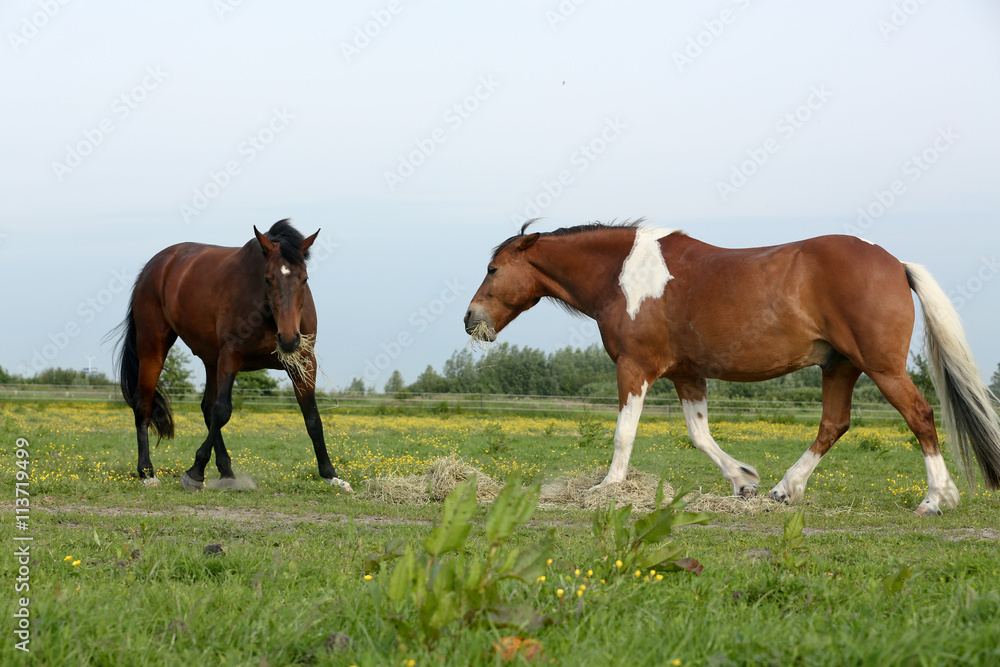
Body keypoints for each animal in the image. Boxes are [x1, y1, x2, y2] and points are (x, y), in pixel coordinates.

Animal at [111, 220, 351, 492]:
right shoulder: (230, 356)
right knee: (144, 405)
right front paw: (195, 473)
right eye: (268, 279)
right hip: (153, 347)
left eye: (304, 278)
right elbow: (223, 411)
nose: (288, 339)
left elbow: (312, 418)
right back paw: (147, 472)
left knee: (206, 407)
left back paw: (226, 471)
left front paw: (331, 475)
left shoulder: (303, 363)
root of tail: (155, 266)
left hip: (210, 360)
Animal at [464, 220, 1000, 515]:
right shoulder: (686, 375)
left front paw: (608, 489)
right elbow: (700, 435)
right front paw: (744, 482)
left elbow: (624, 434)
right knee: (833, 424)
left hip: (882, 367)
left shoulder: (635, 369)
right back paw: (785, 490)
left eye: (493, 269)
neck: (624, 276)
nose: (471, 320)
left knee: (920, 417)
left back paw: (935, 499)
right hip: (840, 367)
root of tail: (895, 263)